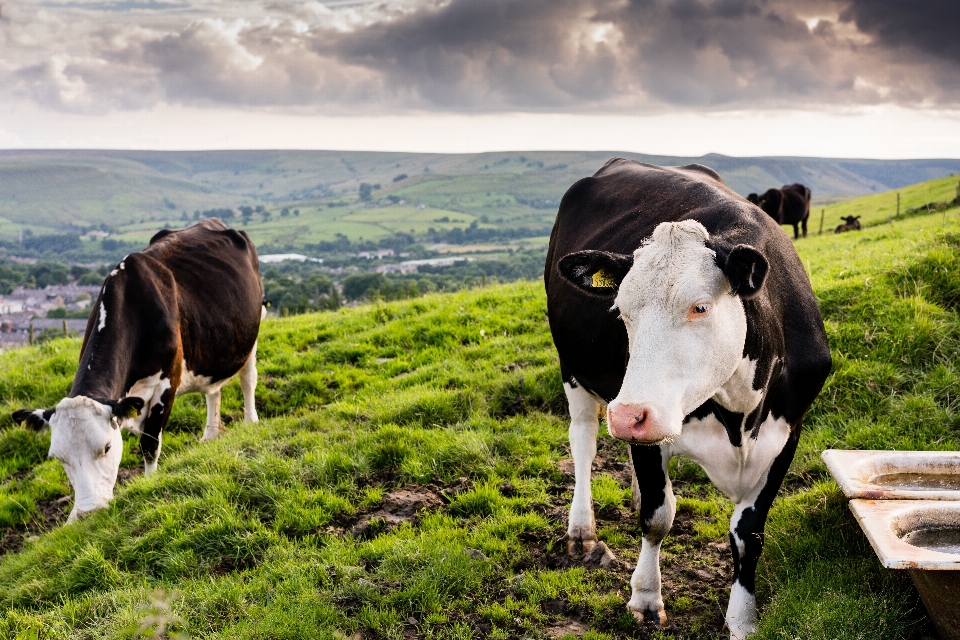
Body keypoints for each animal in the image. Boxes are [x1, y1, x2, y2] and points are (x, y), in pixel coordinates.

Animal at [12, 219, 266, 520]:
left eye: (107, 447)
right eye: (58, 458)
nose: (89, 512)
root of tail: (213, 223)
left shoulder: (167, 381)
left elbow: (150, 444)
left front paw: (149, 485)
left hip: (252, 333)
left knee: (248, 379)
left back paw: (250, 422)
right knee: (213, 390)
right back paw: (210, 435)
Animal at [548, 160, 832, 640]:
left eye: (700, 307)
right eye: (621, 311)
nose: (627, 416)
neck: (740, 415)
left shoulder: (788, 433)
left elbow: (748, 533)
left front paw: (743, 618)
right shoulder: (649, 430)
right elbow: (658, 515)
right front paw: (646, 599)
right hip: (574, 370)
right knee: (583, 441)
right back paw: (582, 529)